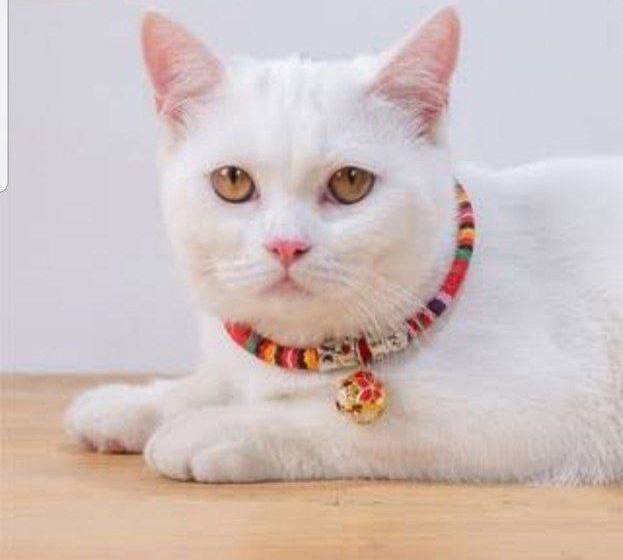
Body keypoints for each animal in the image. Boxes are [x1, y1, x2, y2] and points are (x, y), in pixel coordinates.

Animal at [65, 8, 623, 484]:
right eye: (232, 181)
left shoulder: (525, 410)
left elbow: (319, 418)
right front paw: (134, 403)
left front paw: (213, 427)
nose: (286, 245)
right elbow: (212, 381)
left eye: (351, 182)